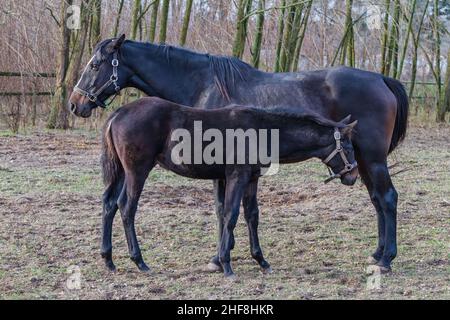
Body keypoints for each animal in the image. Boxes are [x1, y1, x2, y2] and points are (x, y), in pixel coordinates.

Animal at [100, 97, 356, 278]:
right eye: (348, 147)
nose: (353, 175)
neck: (260, 130)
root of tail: (119, 113)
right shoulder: (237, 177)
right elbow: (231, 215)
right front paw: (226, 264)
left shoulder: (250, 179)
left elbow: (251, 215)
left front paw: (261, 260)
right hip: (137, 171)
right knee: (126, 208)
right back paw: (139, 260)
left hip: (121, 172)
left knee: (109, 205)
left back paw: (109, 259)